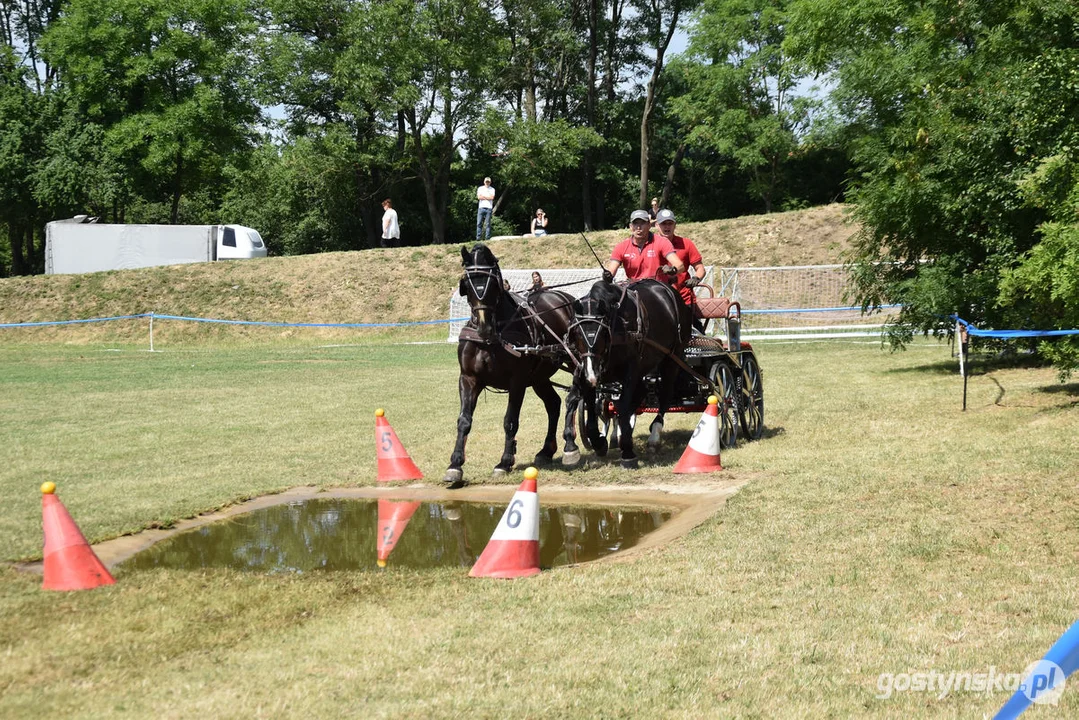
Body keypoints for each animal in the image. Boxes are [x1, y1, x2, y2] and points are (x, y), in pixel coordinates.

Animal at [444, 243, 578, 490]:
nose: (484, 328)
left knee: (576, 397)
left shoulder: (517, 381)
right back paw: (547, 449)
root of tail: (565, 298)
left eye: (493, 283)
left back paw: (570, 444)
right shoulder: (468, 379)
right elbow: (464, 420)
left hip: (577, 363)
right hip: (539, 377)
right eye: (467, 282)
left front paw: (504, 462)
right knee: (553, 403)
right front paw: (455, 465)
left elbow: (510, 420)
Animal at [561, 276, 686, 468]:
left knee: (665, 394)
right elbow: (579, 401)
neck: (616, 324)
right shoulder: (585, 369)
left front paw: (627, 451)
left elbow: (624, 404)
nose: (592, 373)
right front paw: (584, 444)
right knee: (638, 394)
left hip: (672, 358)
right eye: (577, 334)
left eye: (602, 334)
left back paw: (654, 436)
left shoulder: (630, 369)